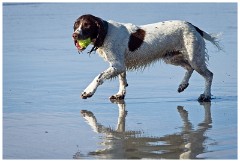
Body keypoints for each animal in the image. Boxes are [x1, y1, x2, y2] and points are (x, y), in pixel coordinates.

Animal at [71, 13, 221, 101]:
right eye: (76, 25)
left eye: (87, 25)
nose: (74, 35)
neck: (106, 32)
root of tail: (195, 27)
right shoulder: (120, 66)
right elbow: (122, 80)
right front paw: (120, 94)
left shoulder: (117, 65)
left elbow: (99, 76)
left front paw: (88, 92)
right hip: (171, 57)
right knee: (189, 68)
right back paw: (183, 85)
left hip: (195, 58)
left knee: (209, 74)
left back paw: (206, 96)